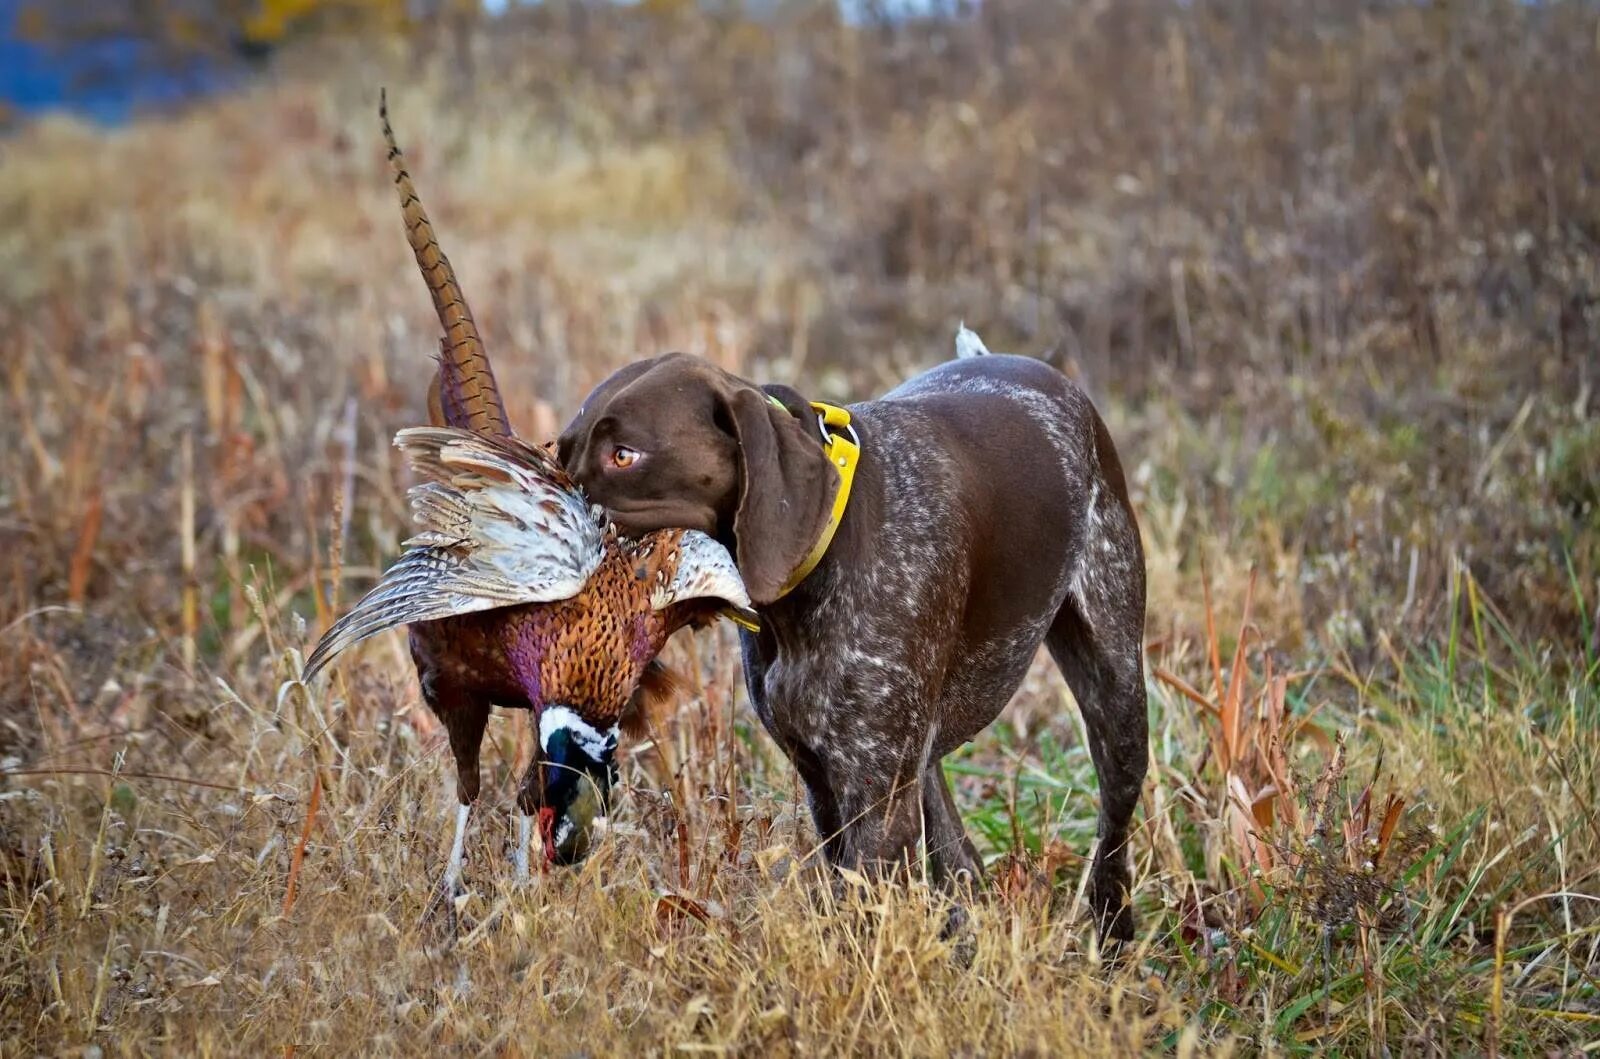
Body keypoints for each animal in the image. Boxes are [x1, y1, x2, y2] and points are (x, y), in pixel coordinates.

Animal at [556, 327, 1145, 940]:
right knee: (958, 855)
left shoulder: (873, 796)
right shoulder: (827, 782)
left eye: (625, 456)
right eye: (562, 450)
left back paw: (1113, 938)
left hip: (1117, 694)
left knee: (1113, 835)